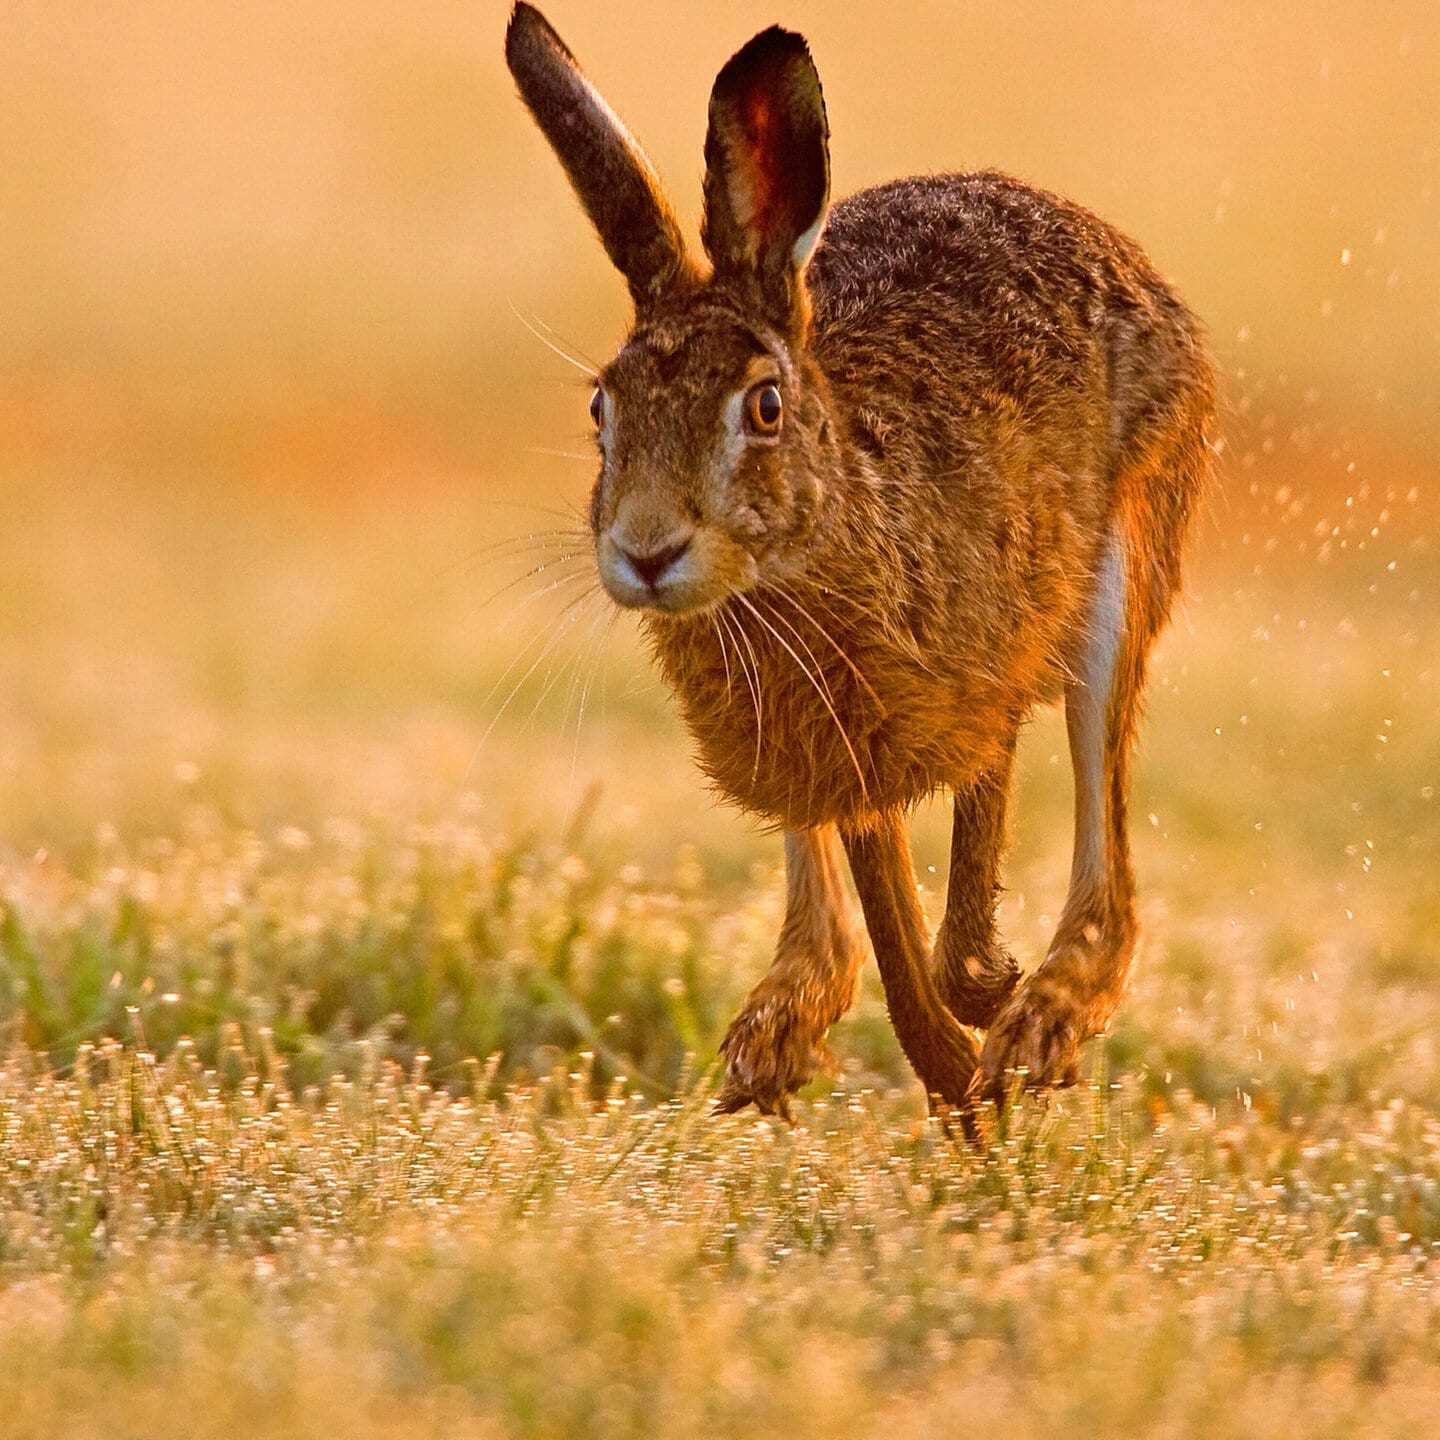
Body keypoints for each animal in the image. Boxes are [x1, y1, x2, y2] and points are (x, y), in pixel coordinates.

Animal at [504, 4, 1215, 1121]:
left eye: (763, 407)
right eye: (600, 412)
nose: (648, 551)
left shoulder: (951, 684)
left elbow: (961, 835)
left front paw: (979, 1026)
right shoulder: (820, 748)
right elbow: (868, 886)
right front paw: (927, 1057)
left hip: (1124, 557)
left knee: (1103, 830)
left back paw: (1034, 1022)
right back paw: (788, 1030)